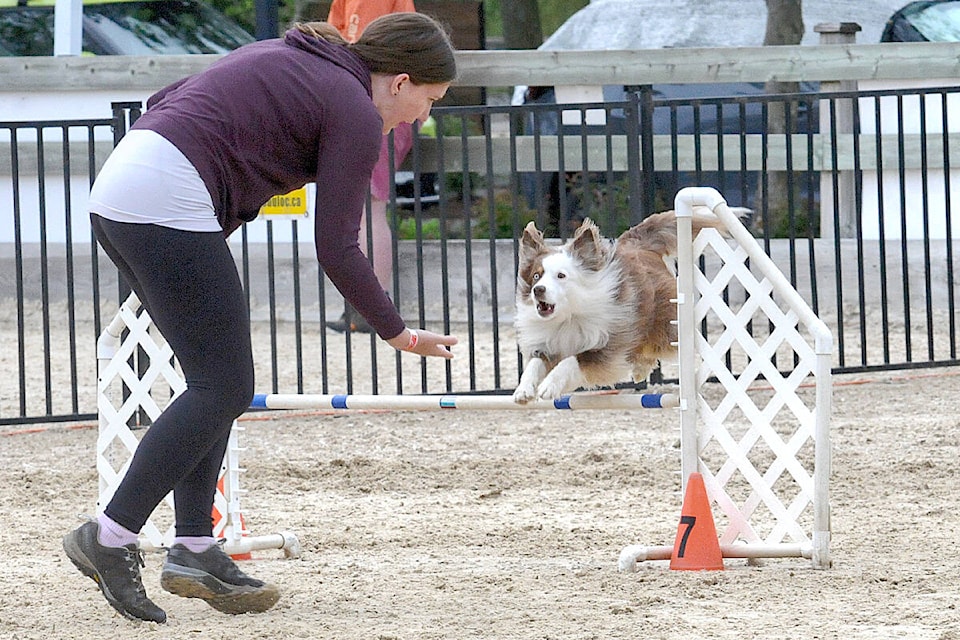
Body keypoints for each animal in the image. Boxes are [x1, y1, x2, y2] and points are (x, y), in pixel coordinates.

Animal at [512, 208, 732, 402]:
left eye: (561, 275)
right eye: (536, 276)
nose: (538, 290)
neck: (569, 316)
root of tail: (640, 245)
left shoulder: (608, 345)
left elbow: (573, 360)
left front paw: (548, 387)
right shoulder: (548, 344)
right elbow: (534, 364)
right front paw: (523, 390)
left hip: (662, 328)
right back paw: (639, 371)